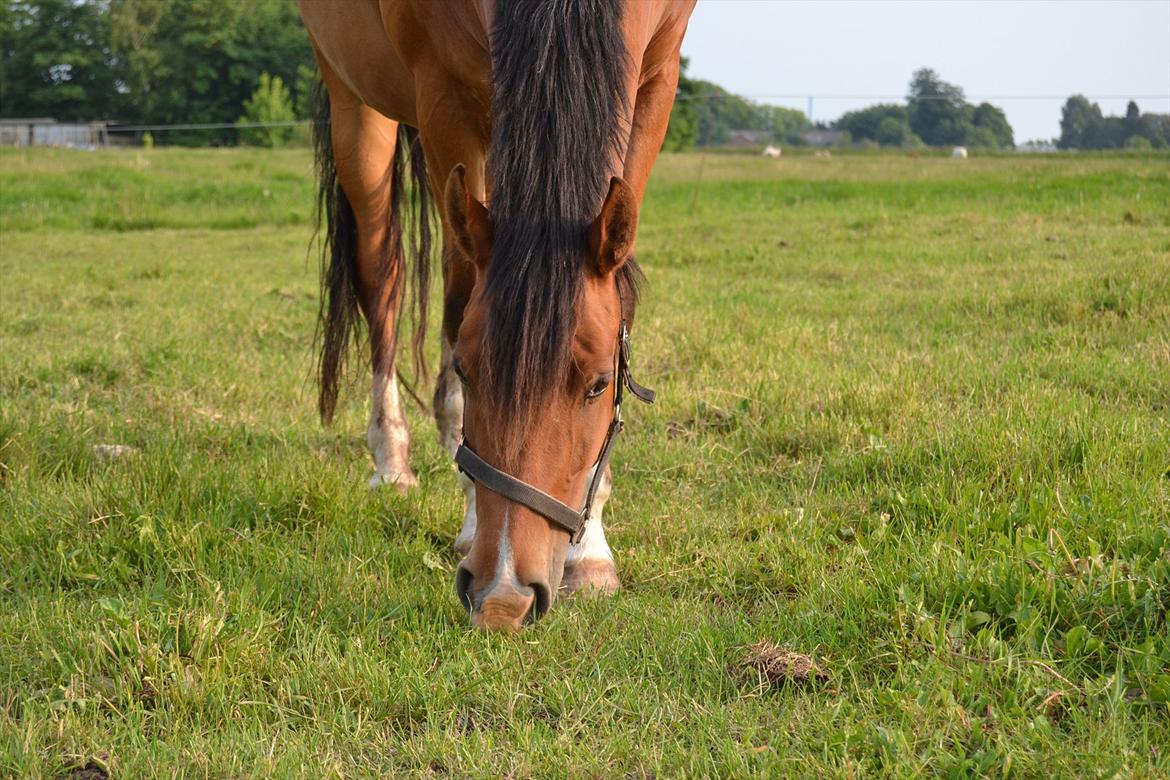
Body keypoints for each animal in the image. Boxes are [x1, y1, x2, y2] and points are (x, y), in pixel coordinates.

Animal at [299, 0, 692, 631]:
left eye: (598, 384)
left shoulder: (656, 77)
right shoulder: (445, 95)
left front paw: (592, 552)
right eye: (469, 370)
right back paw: (392, 457)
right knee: (383, 276)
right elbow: (458, 296)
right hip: (356, 105)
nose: (506, 596)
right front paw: (470, 518)